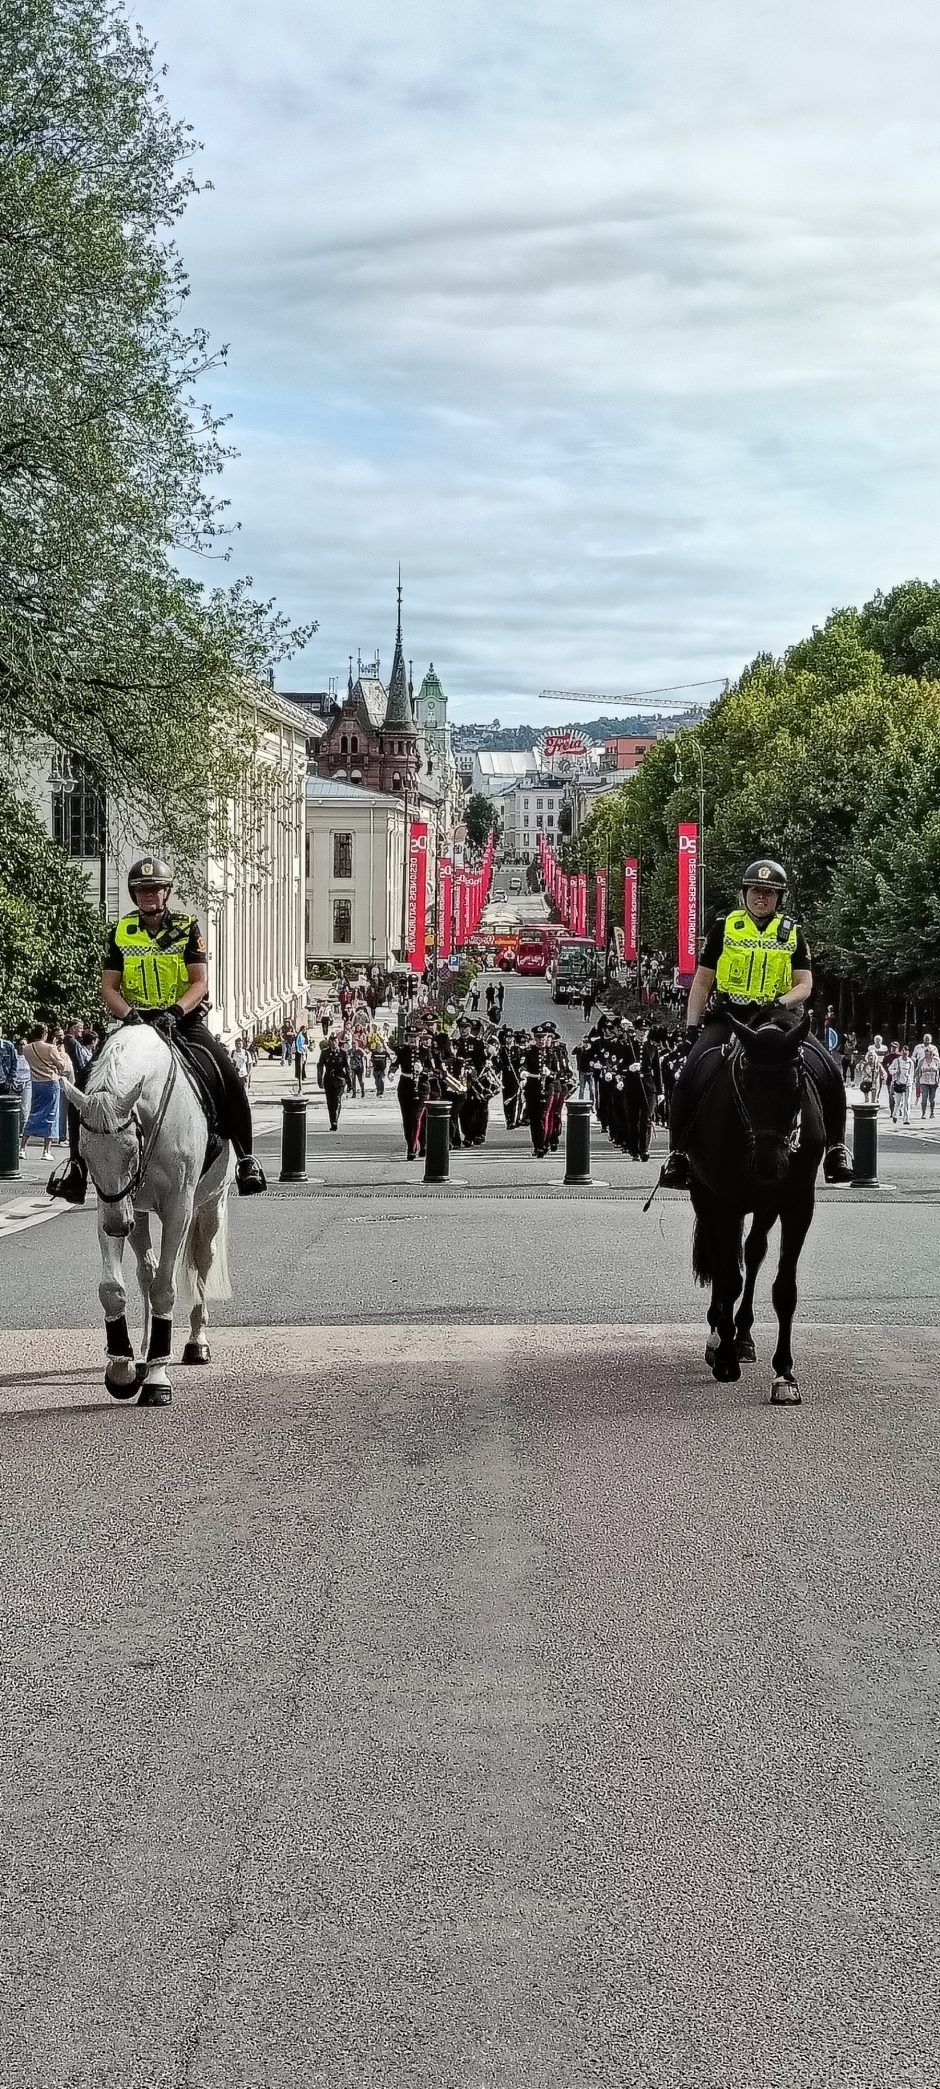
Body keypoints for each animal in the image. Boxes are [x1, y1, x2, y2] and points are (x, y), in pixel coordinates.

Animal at [62, 1023, 230, 1403]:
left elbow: (165, 1288)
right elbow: (113, 1289)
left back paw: (196, 1343)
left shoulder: (178, 1209)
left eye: (130, 1149)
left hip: (210, 1204)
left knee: (202, 1259)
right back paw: (145, 1352)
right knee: (146, 1272)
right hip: (136, 1213)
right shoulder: (112, 1205)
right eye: (85, 1153)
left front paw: (157, 1379)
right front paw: (122, 1368)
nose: (117, 1225)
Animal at [685, 1011, 827, 1403]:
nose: (769, 1166)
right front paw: (724, 1359)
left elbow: (784, 1289)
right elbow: (728, 1278)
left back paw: (743, 1335)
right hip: (706, 1199)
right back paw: (719, 1335)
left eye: (795, 1085)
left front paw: (784, 1374)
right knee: (722, 1260)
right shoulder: (724, 1202)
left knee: (753, 1251)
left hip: (764, 1207)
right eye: (745, 1085)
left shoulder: (798, 1206)